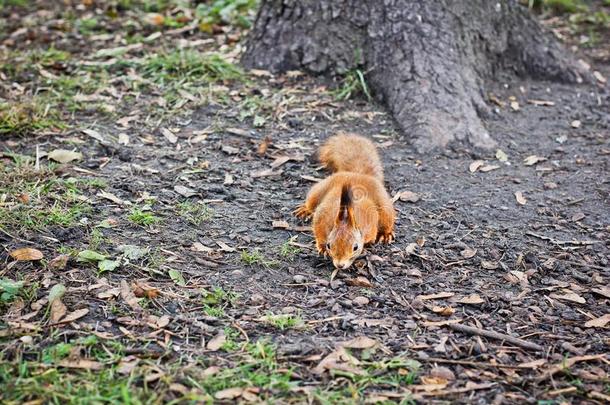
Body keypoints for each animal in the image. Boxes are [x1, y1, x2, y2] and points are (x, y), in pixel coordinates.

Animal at [294, 133, 394, 270]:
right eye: (329, 245)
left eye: (355, 247)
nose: (340, 265)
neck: (346, 214)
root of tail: (357, 173)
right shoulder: (322, 219)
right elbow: (318, 231)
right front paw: (322, 247)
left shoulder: (370, 225)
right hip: (321, 188)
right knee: (311, 202)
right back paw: (305, 210)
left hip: (384, 204)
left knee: (387, 219)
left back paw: (385, 234)